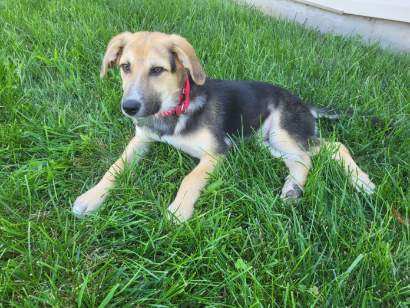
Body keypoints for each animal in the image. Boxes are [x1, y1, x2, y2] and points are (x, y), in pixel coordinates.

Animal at [71, 31, 374, 223]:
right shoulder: (142, 139)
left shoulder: (217, 151)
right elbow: (116, 166)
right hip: (266, 142)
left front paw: (179, 210)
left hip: (284, 130)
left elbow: (190, 178)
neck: (174, 109)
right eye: (125, 67)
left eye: (157, 70)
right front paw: (91, 197)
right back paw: (292, 190)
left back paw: (361, 182)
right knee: (301, 160)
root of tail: (303, 102)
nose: (129, 107)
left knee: (332, 147)